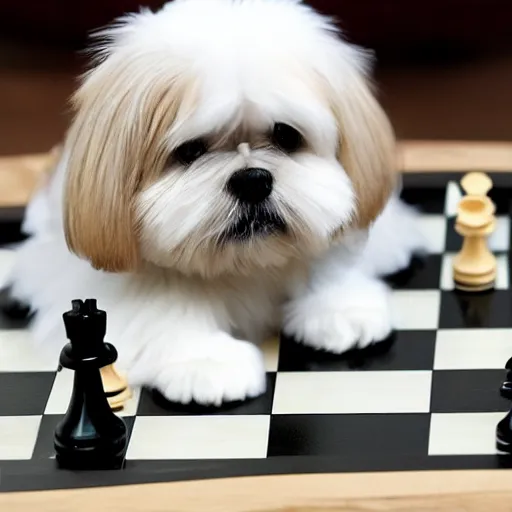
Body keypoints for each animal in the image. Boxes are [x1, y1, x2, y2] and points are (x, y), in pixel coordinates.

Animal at [7, 1, 428, 408]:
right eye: (190, 150)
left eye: (286, 135)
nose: (252, 180)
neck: (243, 265)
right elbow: (164, 312)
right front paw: (206, 361)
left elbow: (323, 264)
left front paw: (339, 308)